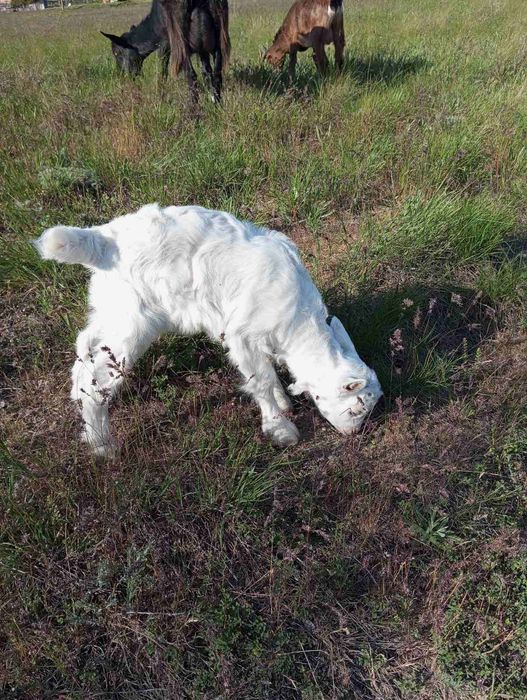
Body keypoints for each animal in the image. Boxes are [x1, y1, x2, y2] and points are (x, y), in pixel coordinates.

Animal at [34, 204, 382, 458]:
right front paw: (280, 429)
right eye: (356, 408)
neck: (298, 320)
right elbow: (259, 380)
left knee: (83, 359)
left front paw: (284, 402)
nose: (353, 434)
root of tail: (104, 239)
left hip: (110, 312)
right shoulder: (241, 334)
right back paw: (103, 447)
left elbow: (267, 371)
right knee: (97, 381)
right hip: (131, 324)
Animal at [101, 0, 230, 103]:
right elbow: (206, 71)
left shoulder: (165, 43)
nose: (122, 75)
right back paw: (218, 105)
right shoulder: (202, 50)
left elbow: (163, 69)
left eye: (117, 53)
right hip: (218, 33)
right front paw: (211, 96)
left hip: (180, 41)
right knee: (217, 73)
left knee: (191, 75)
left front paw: (161, 96)